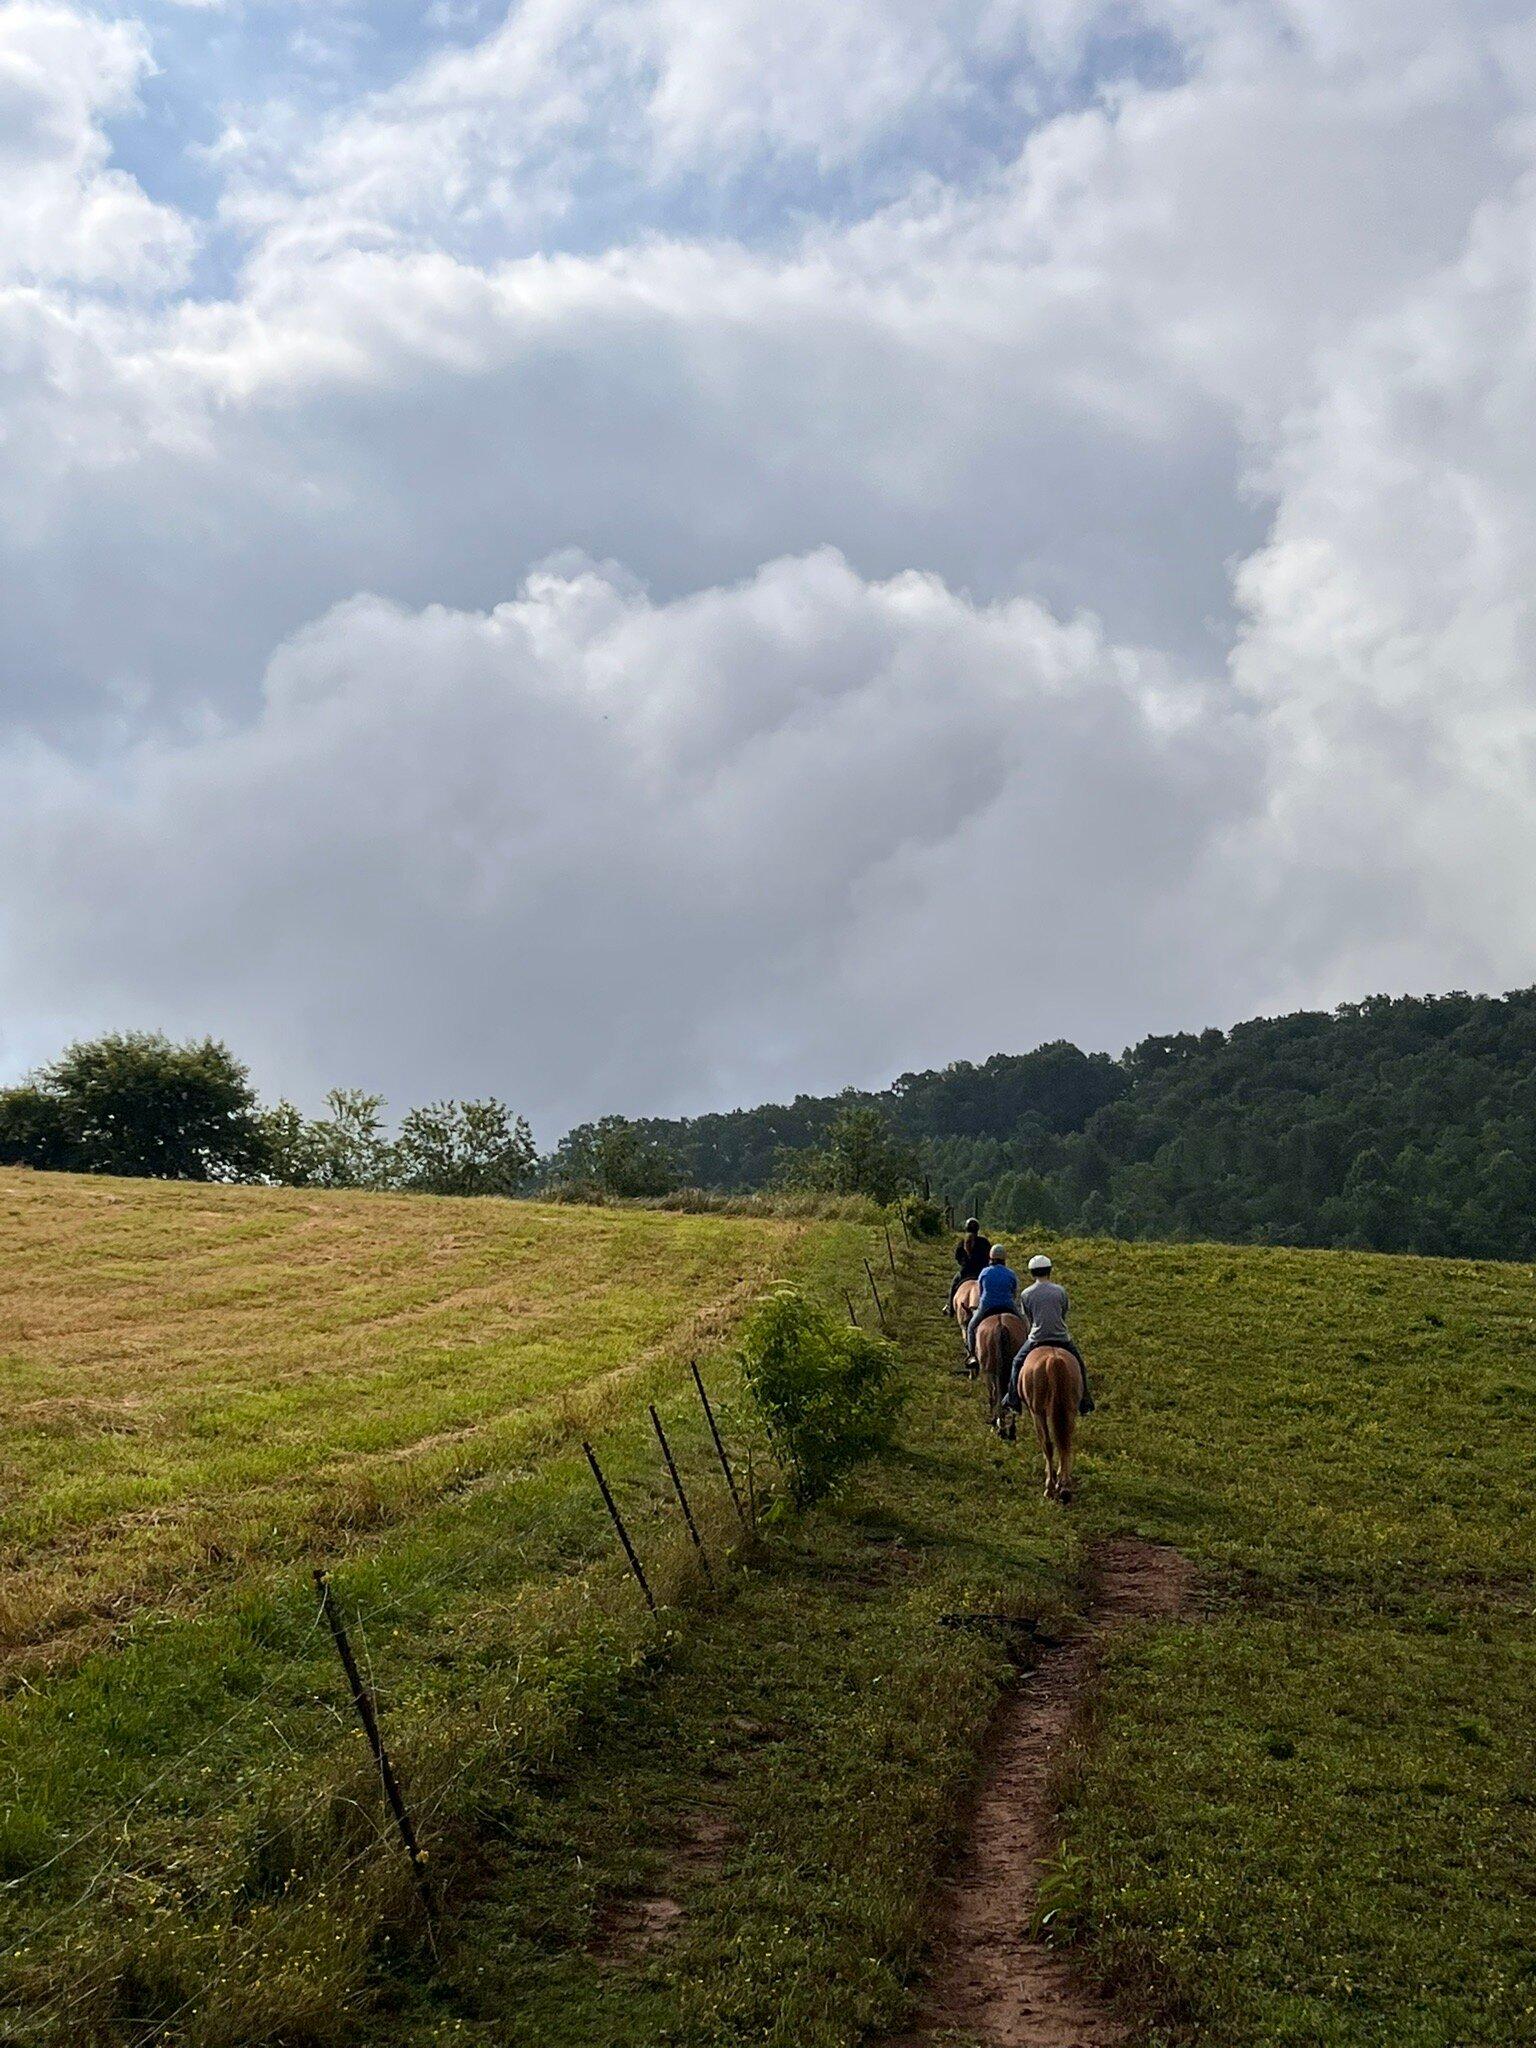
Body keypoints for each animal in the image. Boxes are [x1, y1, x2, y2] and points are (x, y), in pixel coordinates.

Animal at [1024, 1351, 1081, 1499]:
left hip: (1038, 1413)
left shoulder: (1036, 1413)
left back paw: (1049, 1487)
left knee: (1049, 1445)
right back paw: (1064, 1486)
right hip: (1069, 1411)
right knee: (1065, 1445)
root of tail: (1054, 1360)